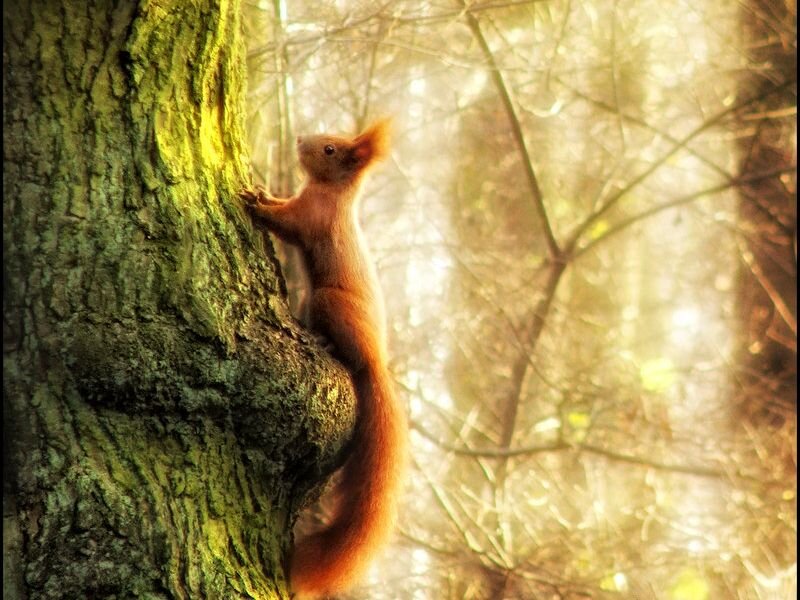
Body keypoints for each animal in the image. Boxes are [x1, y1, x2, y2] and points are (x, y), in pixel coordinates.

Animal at [240, 119, 407, 598]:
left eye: (330, 149)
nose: (299, 140)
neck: (333, 193)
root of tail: (376, 364)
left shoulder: (311, 215)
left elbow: (285, 221)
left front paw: (257, 201)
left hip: (327, 300)